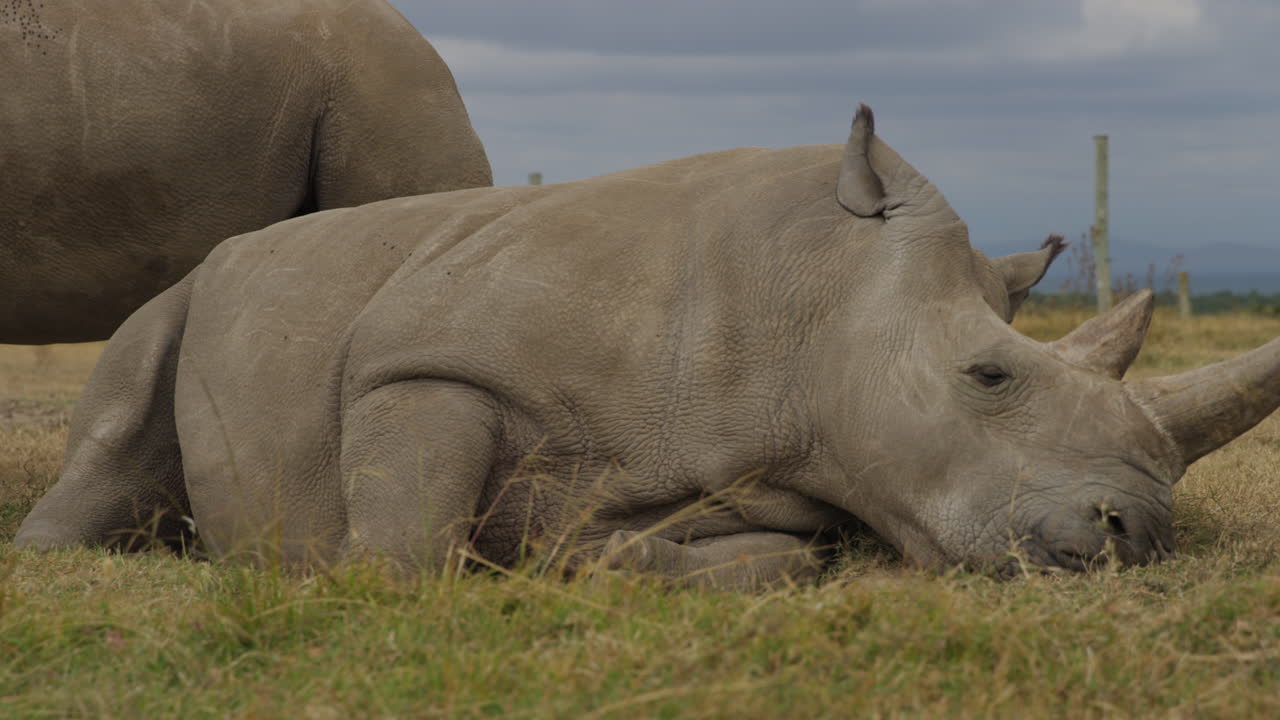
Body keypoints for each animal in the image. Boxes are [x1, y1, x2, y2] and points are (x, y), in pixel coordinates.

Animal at [15, 105, 1280, 590]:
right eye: (987, 375)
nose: (1135, 535)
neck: (811, 298)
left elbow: (769, 555)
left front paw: (572, 555)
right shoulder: (425, 354)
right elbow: (410, 542)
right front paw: (366, 575)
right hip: (197, 284)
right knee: (130, 386)